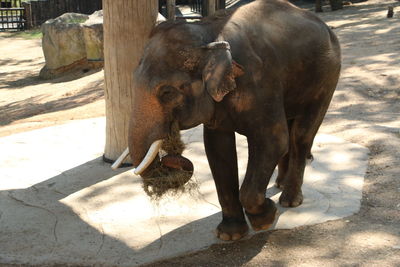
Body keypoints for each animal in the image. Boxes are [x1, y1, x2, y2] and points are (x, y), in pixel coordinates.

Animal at [125, 0, 340, 242]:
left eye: (167, 92)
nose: (170, 156)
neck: (208, 33)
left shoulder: (261, 81)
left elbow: (273, 141)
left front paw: (266, 217)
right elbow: (217, 149)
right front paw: (229, 235)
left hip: (327, 76)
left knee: (300, 135)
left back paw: (289, 200)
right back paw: (279, 184)